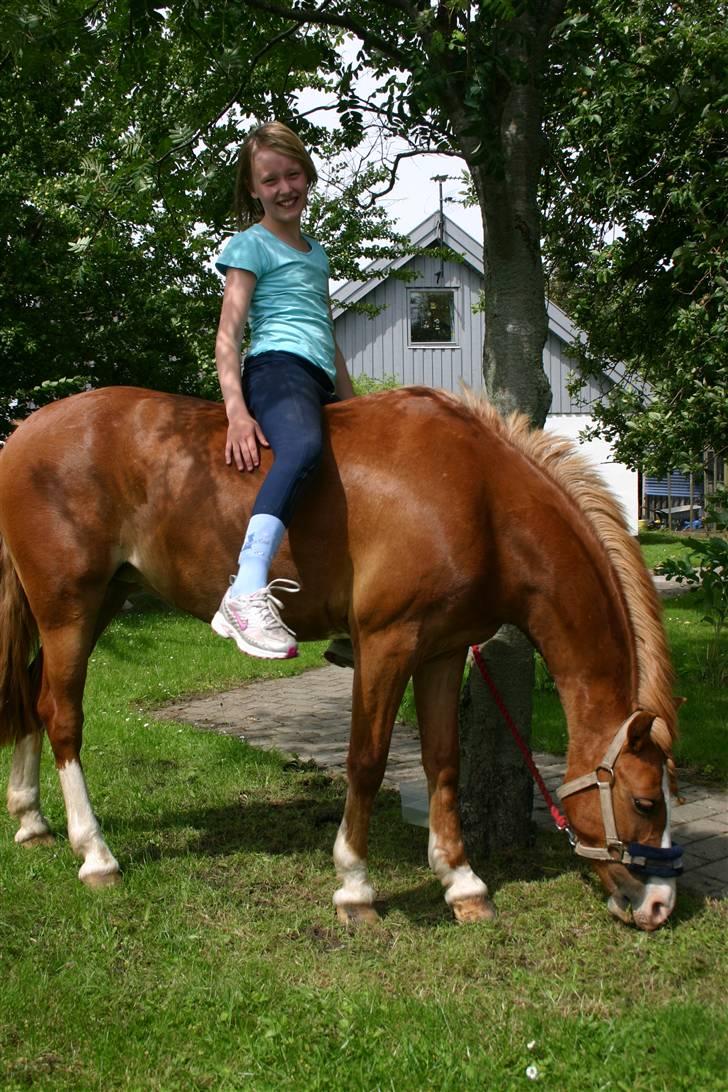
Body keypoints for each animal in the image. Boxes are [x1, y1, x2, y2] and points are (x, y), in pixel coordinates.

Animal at [1, 386, 685, 930]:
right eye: (645, 803)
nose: (659, 905)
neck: (481, 498)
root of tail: (21, 435)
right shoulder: (387, 643)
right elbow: (367, 760)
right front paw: (355, 887)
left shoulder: (441, 651)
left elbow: (444, 763)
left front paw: (462, 883)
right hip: (68, 609)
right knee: (63, 716)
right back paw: (96, 855)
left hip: (96, 603)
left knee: (35, 700)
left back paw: (32, 821)